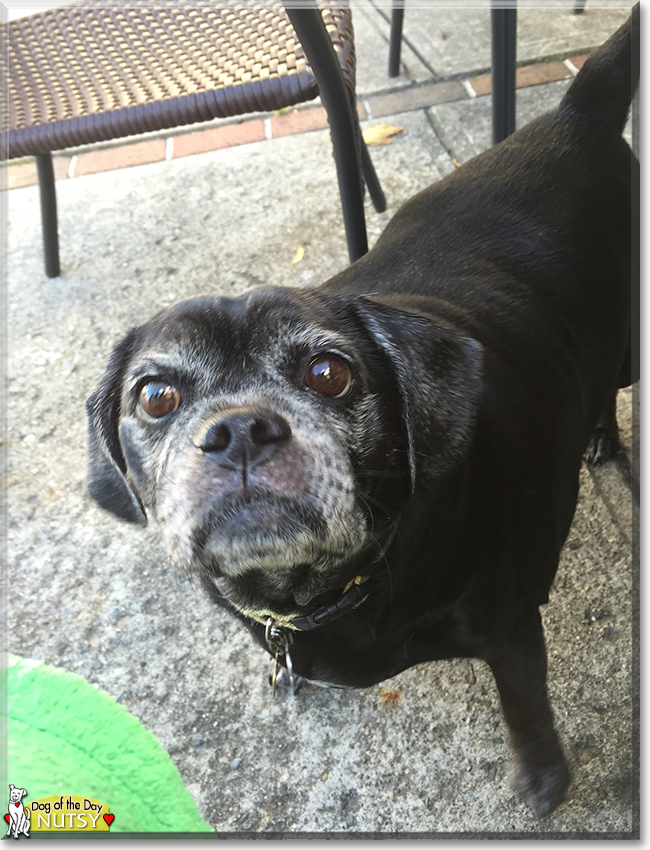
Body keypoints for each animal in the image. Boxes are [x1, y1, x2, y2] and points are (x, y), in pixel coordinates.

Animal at [87, 6, 636, 816]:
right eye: (156, 395)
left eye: (330, 373)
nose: (239, 430)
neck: (320, 588)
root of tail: (577, 114)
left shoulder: (510, 629)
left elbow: (526, 708)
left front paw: (543, 781)